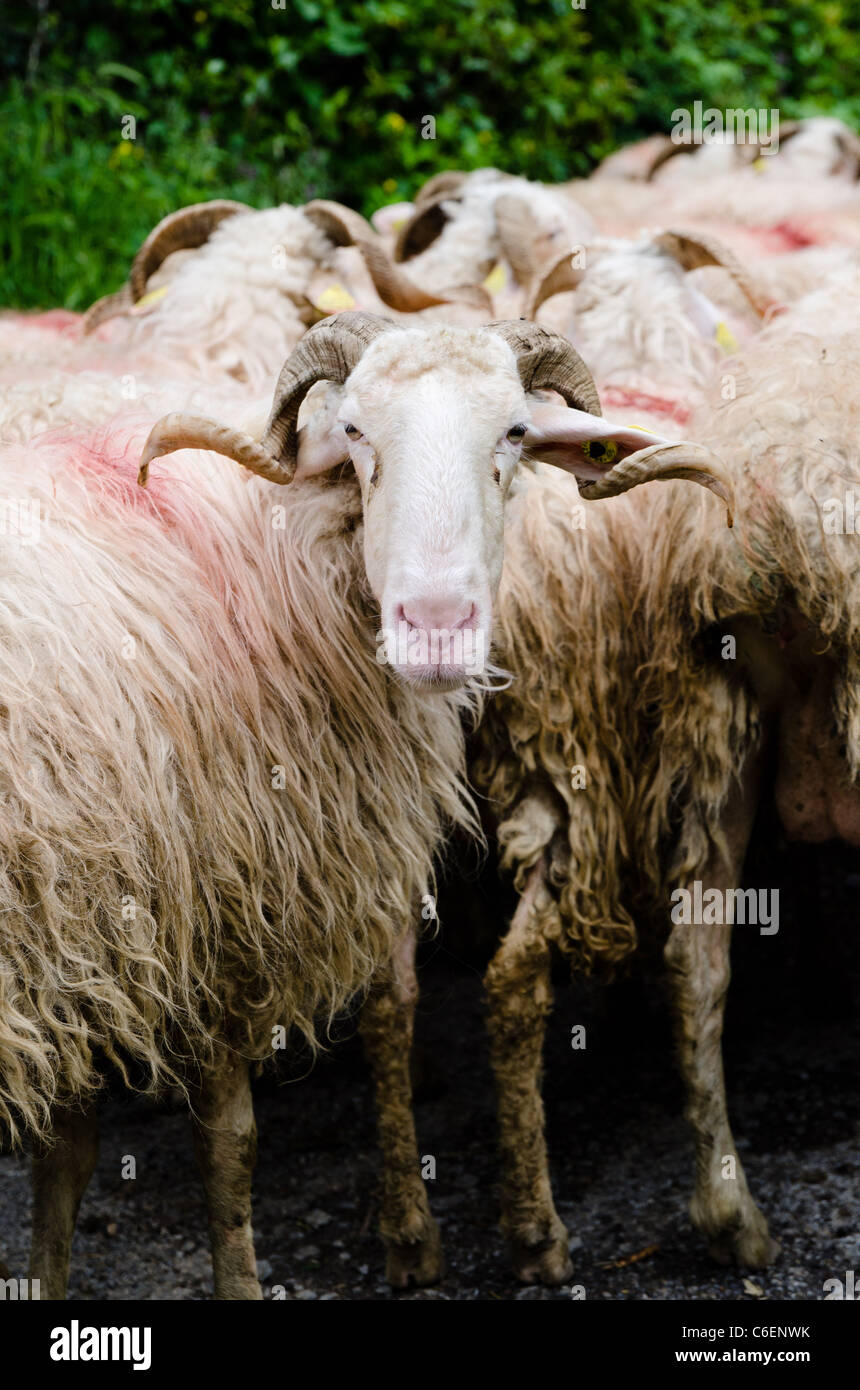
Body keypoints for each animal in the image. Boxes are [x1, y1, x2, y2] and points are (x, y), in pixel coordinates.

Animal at [4, 312, 730, 1299]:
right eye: (353, 431)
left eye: (514, 434)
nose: (436, 625)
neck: (276, 552)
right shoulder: (215, 920)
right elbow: (228, 1148)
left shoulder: (86, 951)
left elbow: (66, 1157)